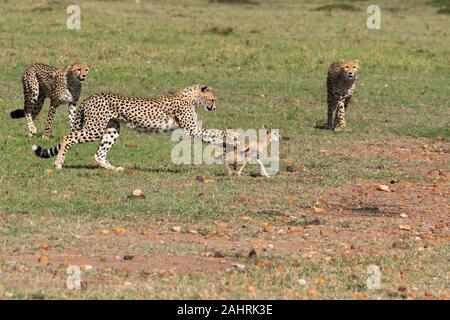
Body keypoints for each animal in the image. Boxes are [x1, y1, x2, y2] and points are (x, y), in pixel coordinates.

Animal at [31, 84, 236, 171]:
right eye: (213, 99)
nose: (214, 107)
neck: (190, 97)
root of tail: (90, 97)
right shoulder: (192, 130)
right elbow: (214, 133)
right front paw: (231, 138)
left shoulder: (193, 129)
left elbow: (214, 134)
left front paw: (231, 140)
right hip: (95, 128)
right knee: (67, 138)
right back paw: (58, 163)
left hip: (112, 129)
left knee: (99, 154)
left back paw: (115, 169)